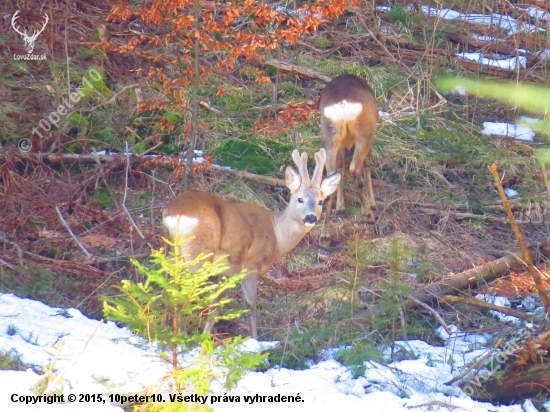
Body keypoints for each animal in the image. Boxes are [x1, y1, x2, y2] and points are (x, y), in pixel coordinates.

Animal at [162, 148, 340, 338]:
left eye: (320, 201)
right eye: (300, 199)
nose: (311, 217)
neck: (276, 235)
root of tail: (175, 214)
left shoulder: (226, 272)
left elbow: (216, 307)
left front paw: (206, 336)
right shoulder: (251, 264)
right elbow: (250, 304)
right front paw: (254, 338)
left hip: (170, 249)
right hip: (197, 252)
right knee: (184, 290)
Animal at [320, 73, 380, 248]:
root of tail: (342, 101)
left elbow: (340, 168)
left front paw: (340, 207)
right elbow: (367, 165)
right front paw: (372, 203)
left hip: (330, 135)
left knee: (332, 173)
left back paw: (325, 234)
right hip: (365, 133)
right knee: (355, 167)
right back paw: (369, 215)